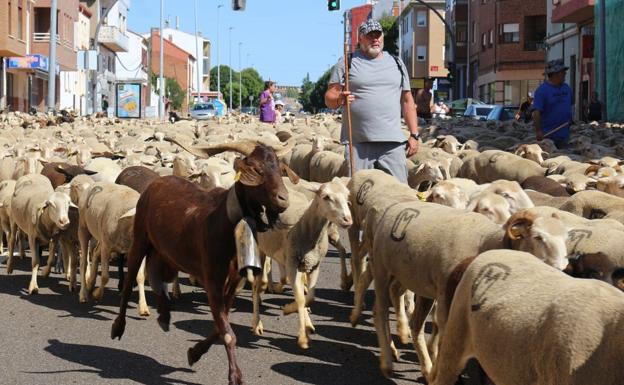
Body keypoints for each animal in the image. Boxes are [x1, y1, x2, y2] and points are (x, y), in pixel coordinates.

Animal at [112, 139, 298, 384]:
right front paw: (235, 376)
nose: (283, 199)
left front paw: (195, 352)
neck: (226, 223)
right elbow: (227, 333)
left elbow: (222, 325)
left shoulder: (234, 281)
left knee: (157, 273)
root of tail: (157, 181)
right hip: (140, 238)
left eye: (279, 167)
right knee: (130, 278)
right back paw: (118, 326)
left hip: (165, 249)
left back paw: (164, 314)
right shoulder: (212, 279)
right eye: (256, 169)